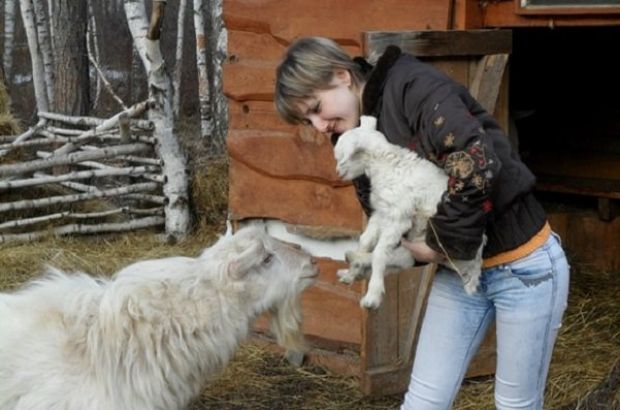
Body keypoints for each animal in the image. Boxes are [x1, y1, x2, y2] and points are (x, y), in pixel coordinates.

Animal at [334, 115, 484, 308]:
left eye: (343, 157)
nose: (338, 173)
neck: (385, 164)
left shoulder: (398, 218)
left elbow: (379, 254)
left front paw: (372, 297)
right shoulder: (381, 212)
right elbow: (365, 240)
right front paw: (351, 273)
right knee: (401, 259)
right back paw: (354, 259)